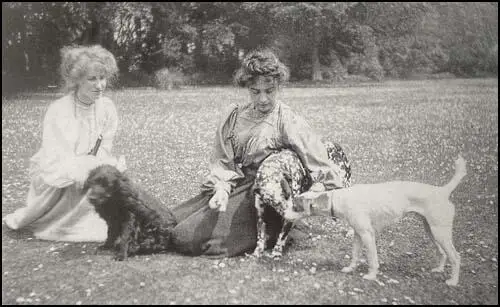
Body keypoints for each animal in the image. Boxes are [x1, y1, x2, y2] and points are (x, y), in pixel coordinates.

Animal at [290, 155, 464, 288]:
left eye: (295, 206)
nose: (284, 214)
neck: (336, 198)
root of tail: (442, 191)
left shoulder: (368, 235)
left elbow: (372, 259)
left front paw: (371, 276)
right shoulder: (358, 235)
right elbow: (354, 254)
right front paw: (350, 269)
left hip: (440, 233)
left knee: (456, 257)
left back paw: (453, 281)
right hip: (432, 231)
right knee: (442, 253)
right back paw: (439, 270)